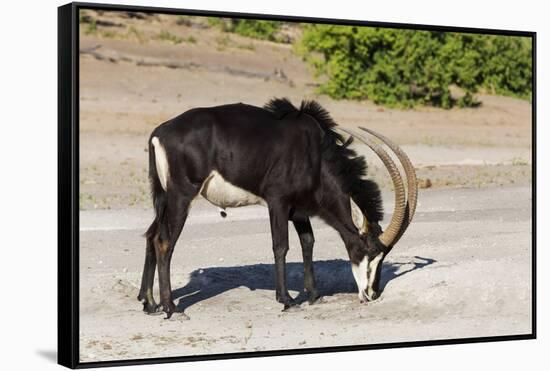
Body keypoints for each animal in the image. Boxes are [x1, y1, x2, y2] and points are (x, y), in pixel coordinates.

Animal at [138, 99, 418, 320]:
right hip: (182, 196)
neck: (314, 153)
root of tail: (159, 133)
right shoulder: (278, 202)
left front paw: (314, 294)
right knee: (164, 242)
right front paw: (287, 300)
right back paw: (171, 308)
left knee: (151, 235)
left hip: (164, 198)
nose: (372, 294)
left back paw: (149, 303)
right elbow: (281, 246)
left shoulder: (299, 209)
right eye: (368, 251)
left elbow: (308, 241)